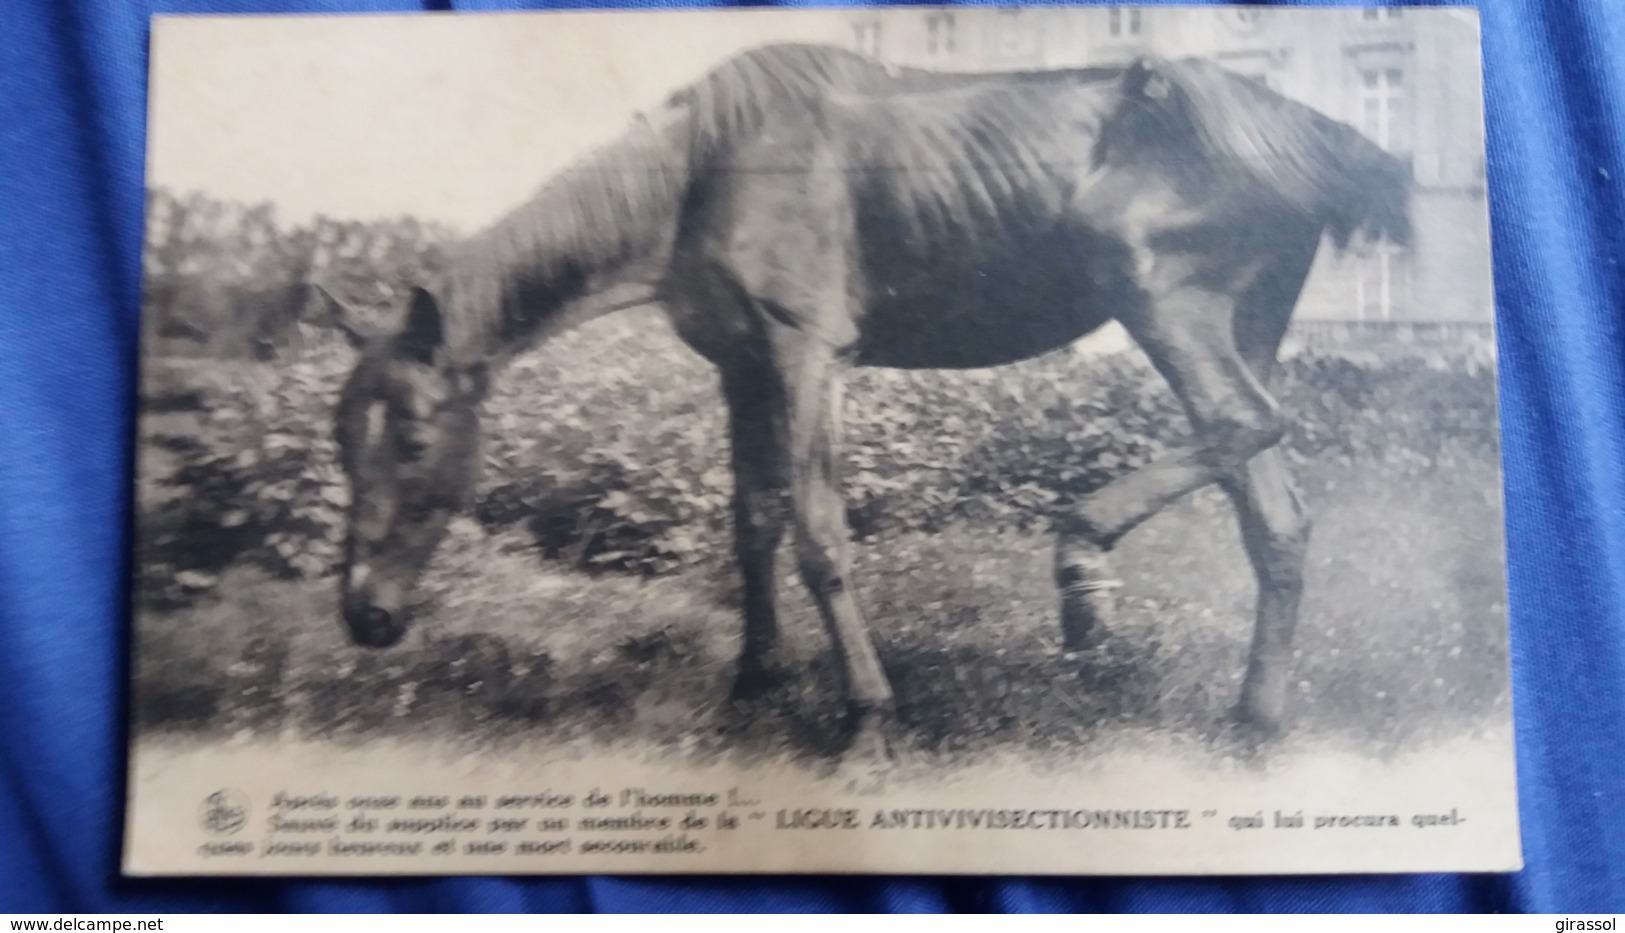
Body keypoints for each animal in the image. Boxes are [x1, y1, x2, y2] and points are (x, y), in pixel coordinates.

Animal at [316, 43, 1410, 760]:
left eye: (409, 438)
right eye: (340, 442)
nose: (365, 616)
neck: (706, 167)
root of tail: (1320, 137)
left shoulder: (807, 355)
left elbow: (816, 534)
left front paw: (865, 721)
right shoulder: (742, 367)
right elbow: (751, 524)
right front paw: (751, 689)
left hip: (1165, 305)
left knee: (1241, 426)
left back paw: (1081, 569)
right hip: (1237, 323)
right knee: (1271, 512)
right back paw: (1250, 724)